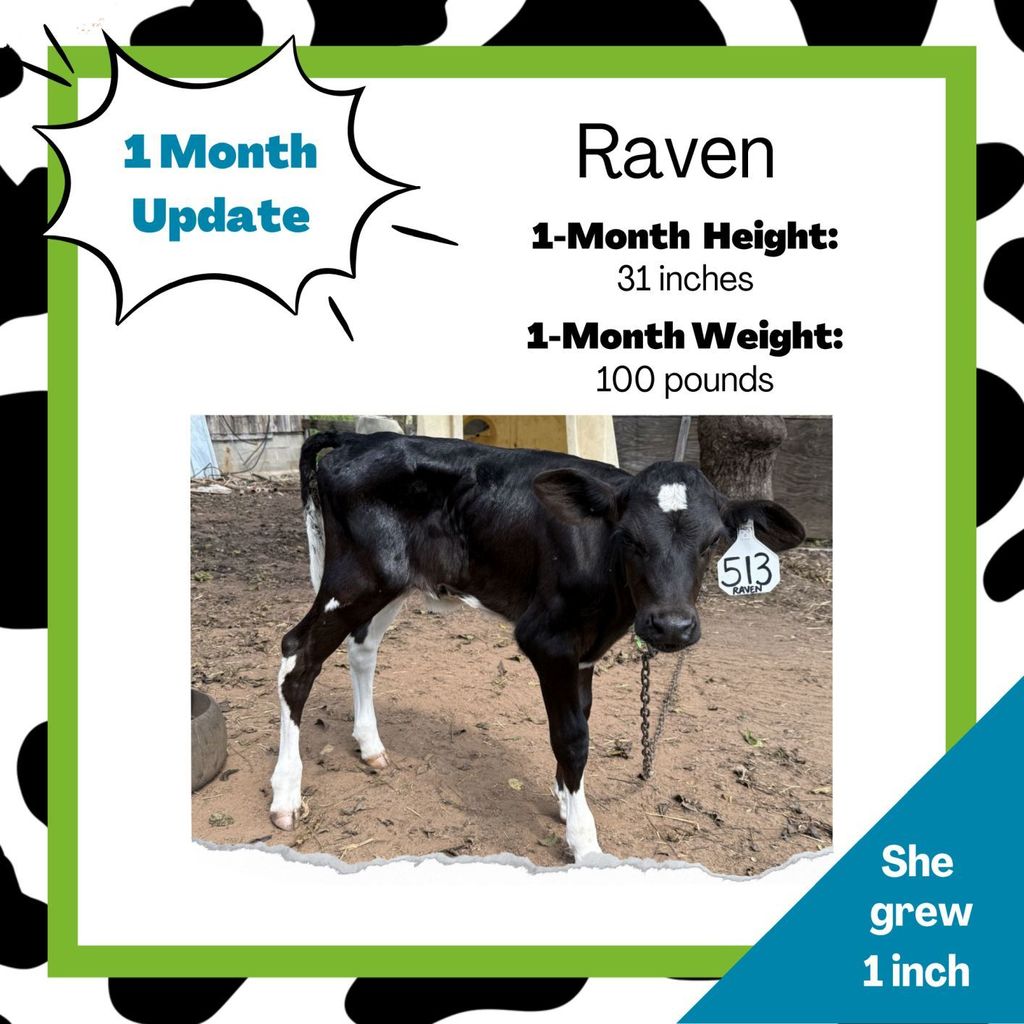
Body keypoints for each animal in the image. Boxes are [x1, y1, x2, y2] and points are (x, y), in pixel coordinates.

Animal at [269, 431, 805, 862]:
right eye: (629, 537)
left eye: (714, 541)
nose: (671, 626)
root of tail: (361, 439)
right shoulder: (548, 640)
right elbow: (572, 737)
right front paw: (584, 838)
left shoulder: (584, 651)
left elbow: (582, 719)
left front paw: (568, 800)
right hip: (355, 578)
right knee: (298, 655)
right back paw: (285, 794)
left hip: (391, 582)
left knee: (361, 649)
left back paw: (371, 747)